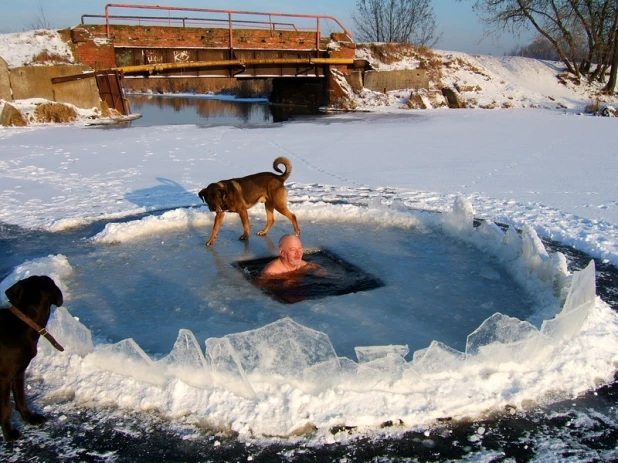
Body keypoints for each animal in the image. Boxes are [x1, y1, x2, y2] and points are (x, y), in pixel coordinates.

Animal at [0, 276, 63, 442]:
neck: (24, 322)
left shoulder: (19, 372)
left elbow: (21, 397)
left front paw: (29, 417)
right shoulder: (3, 378)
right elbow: (5, 408)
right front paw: (9, 433)